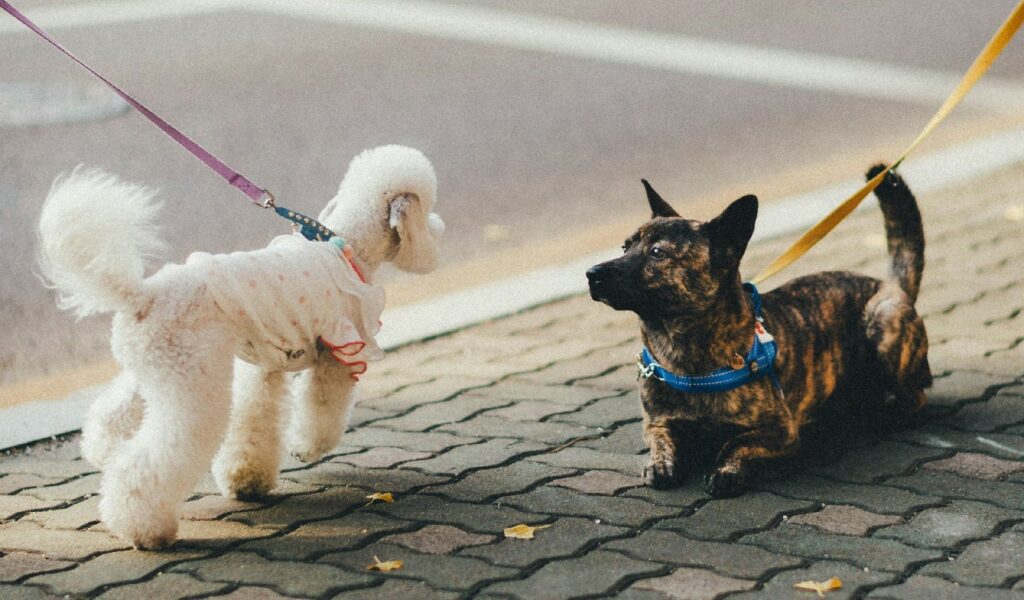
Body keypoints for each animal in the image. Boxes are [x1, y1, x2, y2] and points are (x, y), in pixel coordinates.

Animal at [585, 163, 929, 495]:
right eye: (625, 247)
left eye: (657, 253)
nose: (591, 273)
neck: (683, 351)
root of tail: (891, 285)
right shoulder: (657, 423)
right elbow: (661, 440)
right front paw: (660, 464)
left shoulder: (781, 429)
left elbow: (736, 441)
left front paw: (726, 470)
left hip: (883, 325)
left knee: (916, 396)